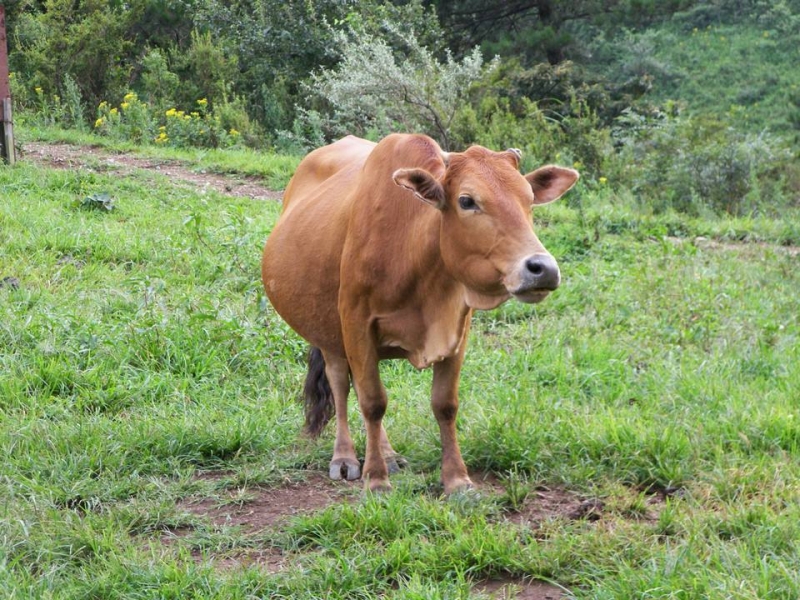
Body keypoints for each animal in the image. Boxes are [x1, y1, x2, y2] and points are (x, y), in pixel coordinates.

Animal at [266, 135, 580, 492]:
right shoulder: (356, 324)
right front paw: (376, 479)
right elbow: (373, 402)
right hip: (330, 335)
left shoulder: (457, 328)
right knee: (342, 386)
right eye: (467, 200)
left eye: (529, 199)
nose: (542, 269)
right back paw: (345, 456)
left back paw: (388, 454)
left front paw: (457, 480)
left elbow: (444, 404)